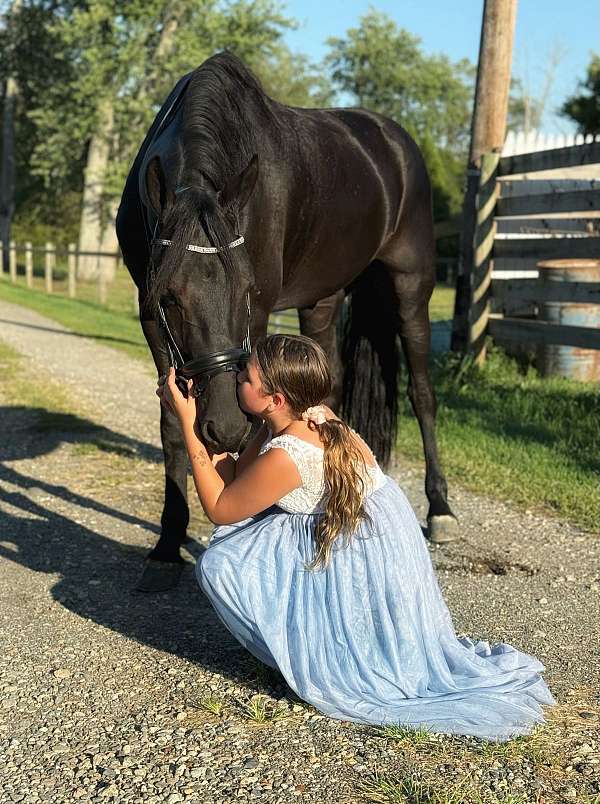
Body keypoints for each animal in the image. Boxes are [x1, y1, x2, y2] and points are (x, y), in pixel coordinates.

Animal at [116, 51, 457, 592]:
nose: (224, 428)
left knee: (422, 392)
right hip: (323, 300)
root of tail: (393, 140)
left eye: (247, 290)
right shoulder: (149, 313)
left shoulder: (258, 318)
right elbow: (172, 421)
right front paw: (167, 545)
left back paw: (440, 507)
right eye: (171, 298)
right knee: (330, 387)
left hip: (412, 286)